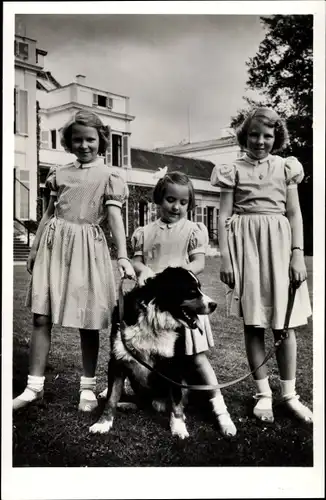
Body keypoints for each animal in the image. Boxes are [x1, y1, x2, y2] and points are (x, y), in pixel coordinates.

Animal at [89, 268, 216, 440]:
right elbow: (112, 397)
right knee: (141, 401)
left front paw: (178, 427)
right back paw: (126, 404)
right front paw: (103, 423)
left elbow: (176, 402)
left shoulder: (173, 365)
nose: (214, 305)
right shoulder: (118, 358)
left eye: (199, 288)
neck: (153, 321)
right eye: (191, 291)